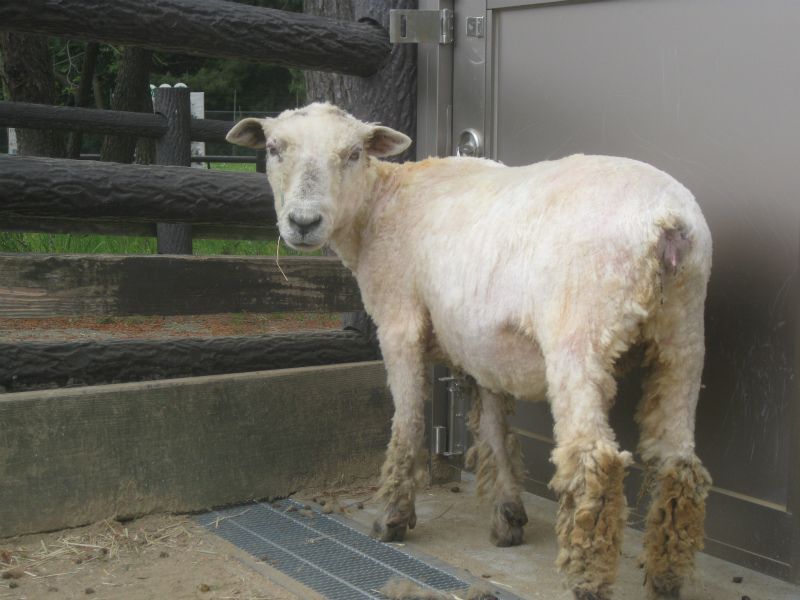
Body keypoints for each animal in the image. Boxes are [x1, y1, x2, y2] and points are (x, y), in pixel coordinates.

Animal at [228, 104, 716, 600]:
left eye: (353, 153)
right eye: (273, 148)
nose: (303, 223)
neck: (379, 206)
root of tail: (667, 222)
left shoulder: (399, 320)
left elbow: (408, 422)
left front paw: (392, 518)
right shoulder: (484, 348)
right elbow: (494, 430)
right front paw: (507, 516)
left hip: (579, 333)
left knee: (594, 462)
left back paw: (588, 579)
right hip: (684, 334)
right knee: (679, 463)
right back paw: (666, 576)